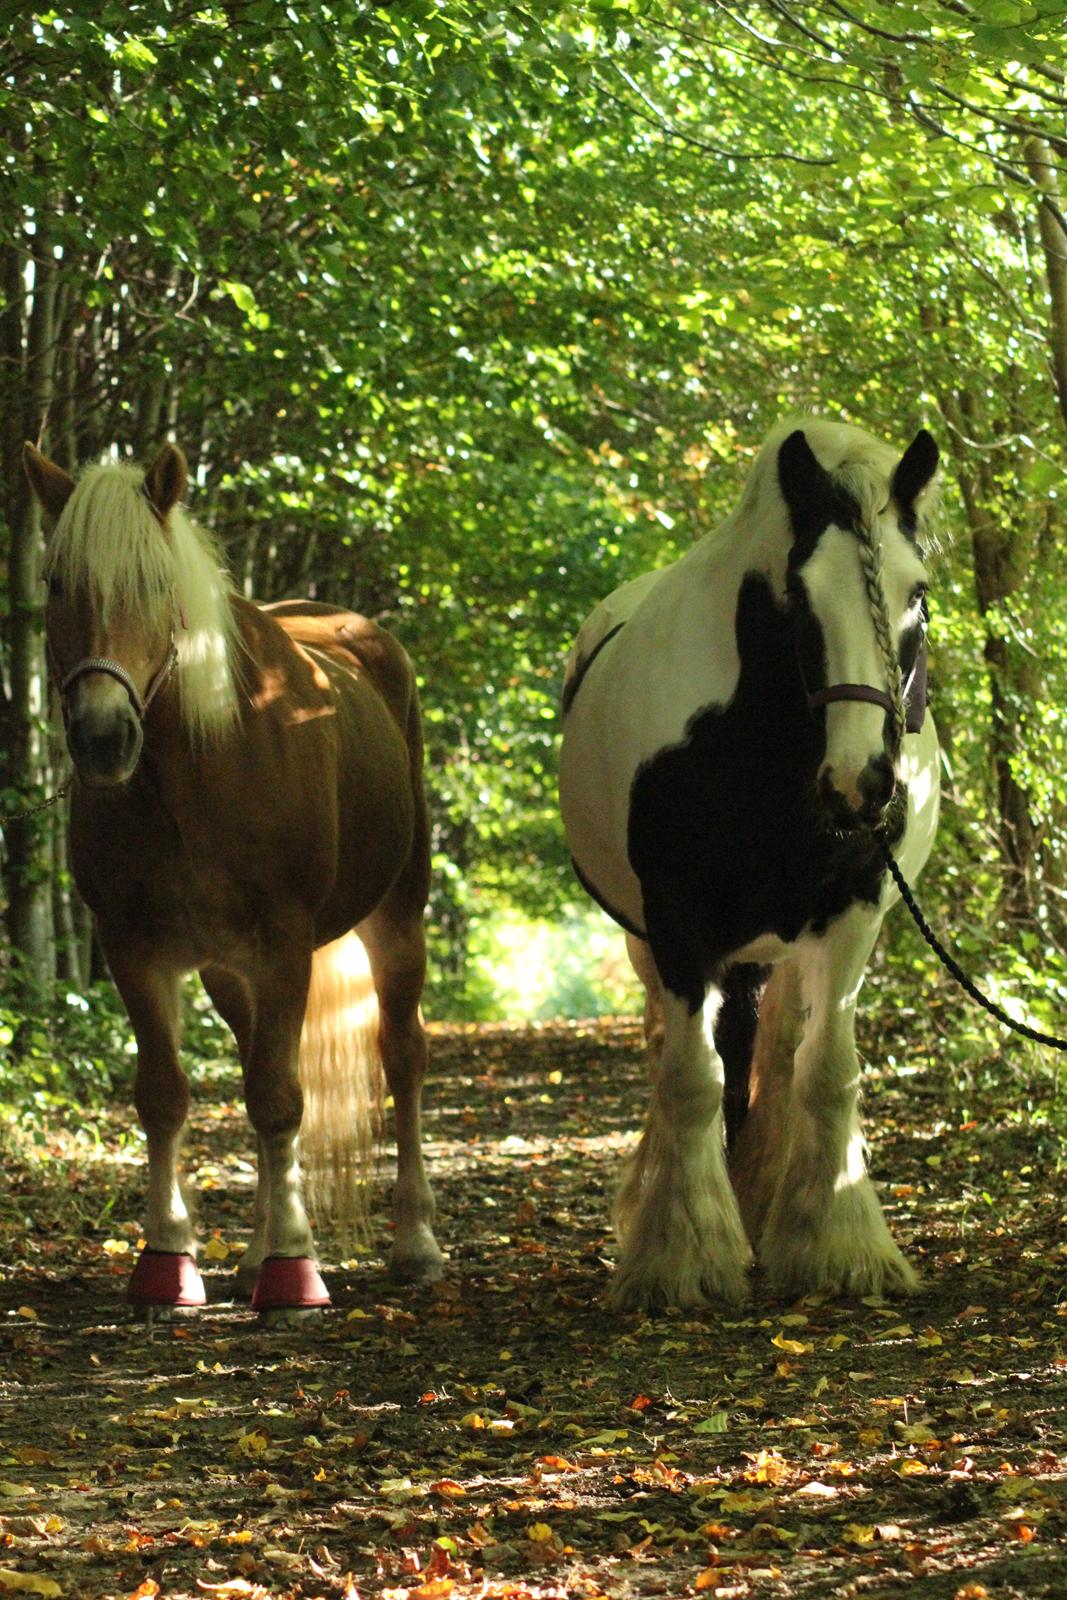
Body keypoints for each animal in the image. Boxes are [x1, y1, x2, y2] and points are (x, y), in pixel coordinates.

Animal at [24, 438, 444, 1312]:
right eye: (55, 583)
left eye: (156, 585)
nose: (103, 738)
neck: (196, 771)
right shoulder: (134, 947)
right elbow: (167, 1095)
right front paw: (168, 1260)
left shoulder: (284, 942)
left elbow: (279, 1098)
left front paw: (294, 1270)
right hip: (228, 969)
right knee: (260, 1061)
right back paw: (251, 1253)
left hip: (397, 914)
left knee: (401, 1055)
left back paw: (413, 1242)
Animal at [563, 419, 940, 1305]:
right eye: (797, 598)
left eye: (916, 593)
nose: (863, 782)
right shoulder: (673, 921)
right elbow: (689, 1078)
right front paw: (682, 1258)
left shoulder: (852, 909)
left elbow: (826, 1072)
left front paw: (838, 1248)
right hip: (651, 941)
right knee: (684, 1056)